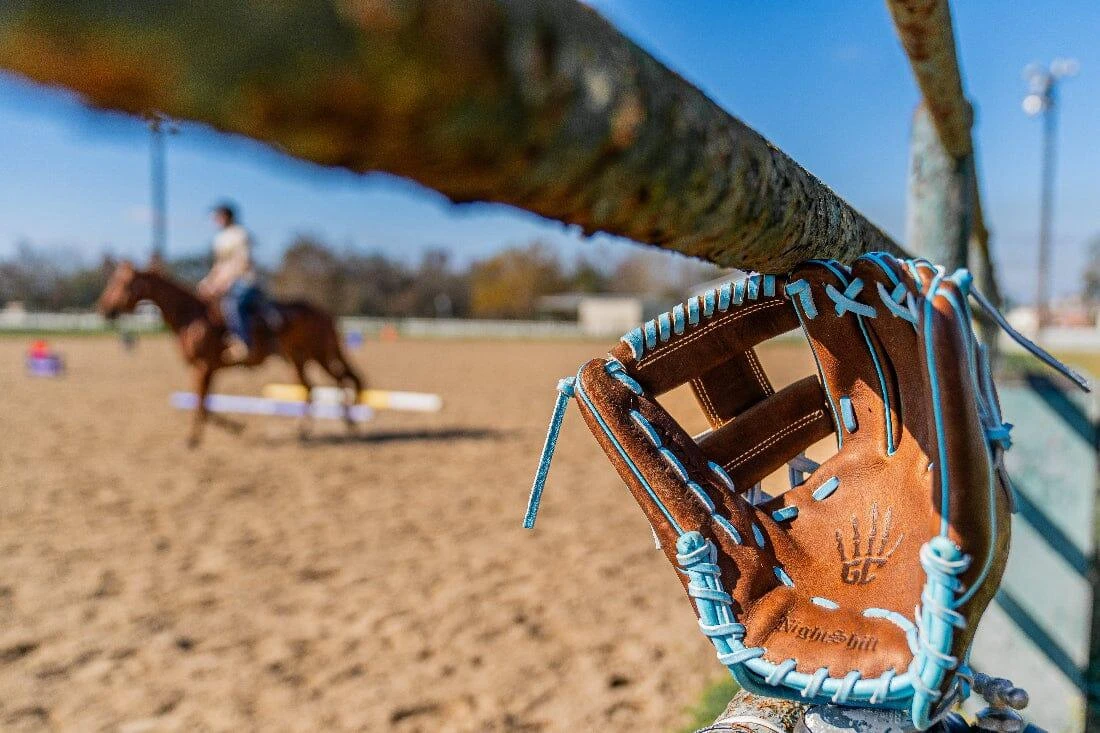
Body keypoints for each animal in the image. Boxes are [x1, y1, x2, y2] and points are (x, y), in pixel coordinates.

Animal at [97, 261, 365, 446]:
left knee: (341, 380)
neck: (192, 318)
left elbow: (201, 404)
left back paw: (349, 423)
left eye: (121, 283)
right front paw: (235, 427)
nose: (104, 309)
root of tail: (324, 313)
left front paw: (193, 439)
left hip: (320, 353)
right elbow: (204, 405)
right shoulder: (208, 369)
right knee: (311, 388)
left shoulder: (203, 367)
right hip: (297, 358)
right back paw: (305, 429)